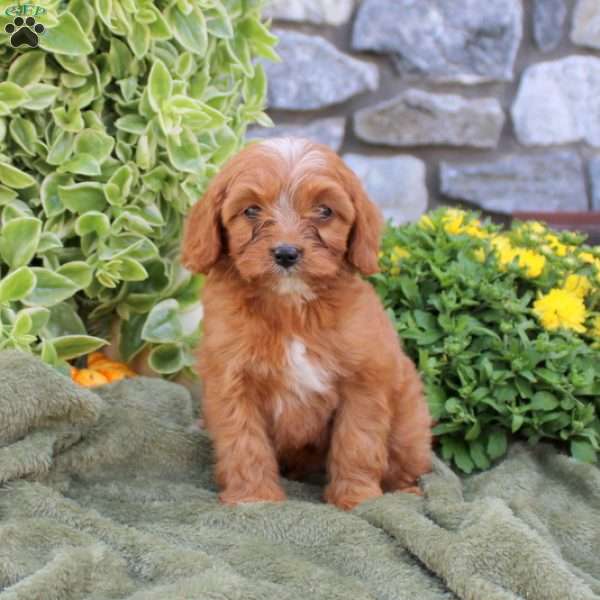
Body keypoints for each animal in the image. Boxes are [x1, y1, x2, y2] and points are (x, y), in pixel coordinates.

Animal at [183, 138, 432, 508]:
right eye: (251, 210)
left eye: (324, 211)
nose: (287, 253)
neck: (291, 309)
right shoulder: (232, 382)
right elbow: (244, 442)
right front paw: (253, 498)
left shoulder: (364, 380)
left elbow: (357, 442)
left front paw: (357, 497)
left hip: (408, 423)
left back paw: (406, 491)